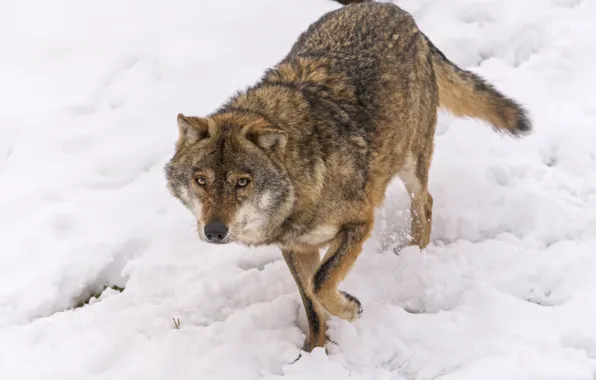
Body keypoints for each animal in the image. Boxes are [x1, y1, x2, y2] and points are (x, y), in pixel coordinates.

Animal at [163, 0, 532, 352]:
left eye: (242, 182)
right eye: (201, 180)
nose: (214, 231)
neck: (306, 179)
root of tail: (393, 9)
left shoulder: (359, 222)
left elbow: (321, 282)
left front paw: (350, 310)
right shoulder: (295, 247)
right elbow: (311, 304)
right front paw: (314, 352)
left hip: (410, 164)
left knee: (424, 203)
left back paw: (415, 256)